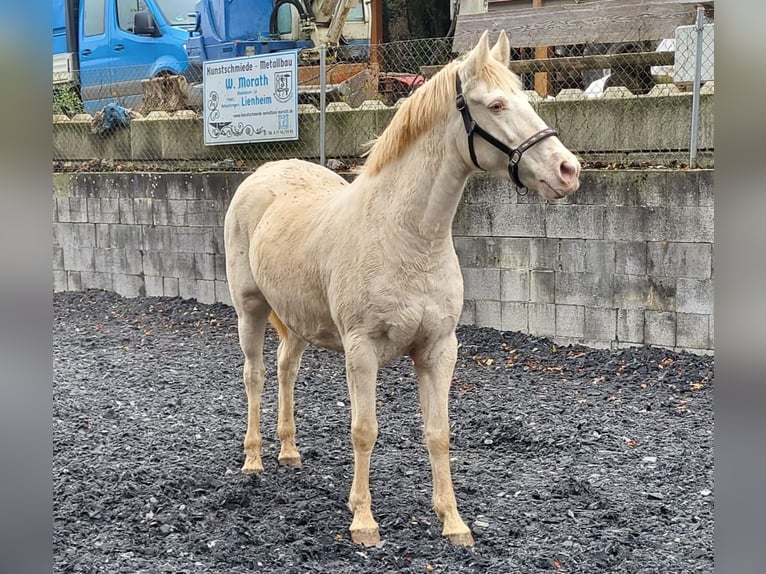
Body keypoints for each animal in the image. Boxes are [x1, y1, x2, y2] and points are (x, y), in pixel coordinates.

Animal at [224, 30, 584, 548]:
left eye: (524, 99)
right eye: (496, 104)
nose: (567, 170)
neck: (408, 237)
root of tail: (265, 172)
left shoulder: (438, 350)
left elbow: (438, 432)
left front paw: (453, 522)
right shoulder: (361, 350)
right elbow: (364, 430)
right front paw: (363, 521)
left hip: (297, 319)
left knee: (285, 367)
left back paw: (289, 452)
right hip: (250, 310)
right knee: (254, 375)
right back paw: (253, 459)